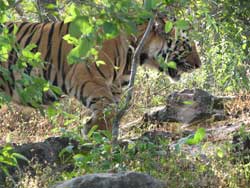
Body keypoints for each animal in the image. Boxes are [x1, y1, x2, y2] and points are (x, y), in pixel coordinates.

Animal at [0, 15, 200, 134]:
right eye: (187, 46)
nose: (199, 64)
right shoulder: (88, 78)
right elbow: (107, 111)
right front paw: (95, 134)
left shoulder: (115, 88)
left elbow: (112, 113)